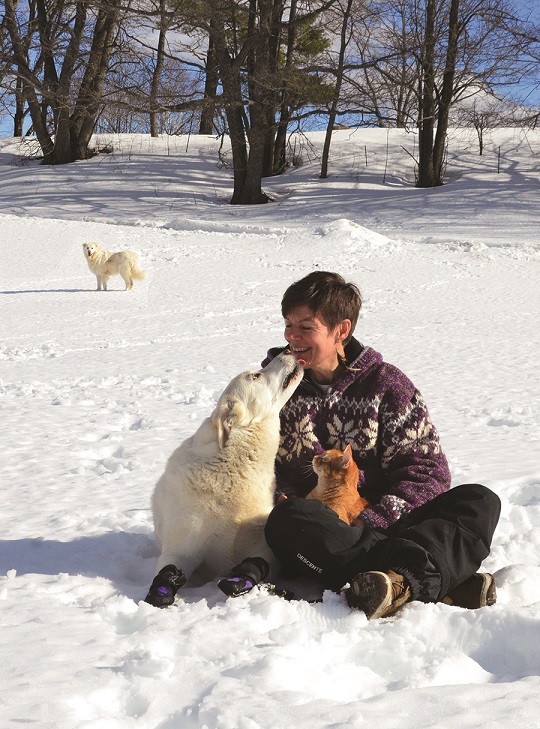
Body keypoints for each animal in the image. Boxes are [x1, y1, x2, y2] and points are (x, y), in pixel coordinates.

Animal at [143, 350, 304, 604]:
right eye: (256, 375)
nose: (287, 350)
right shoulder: (181, 550)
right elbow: (169, 570)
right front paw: (162, 588)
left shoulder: (265, 548)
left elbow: (257, 562)